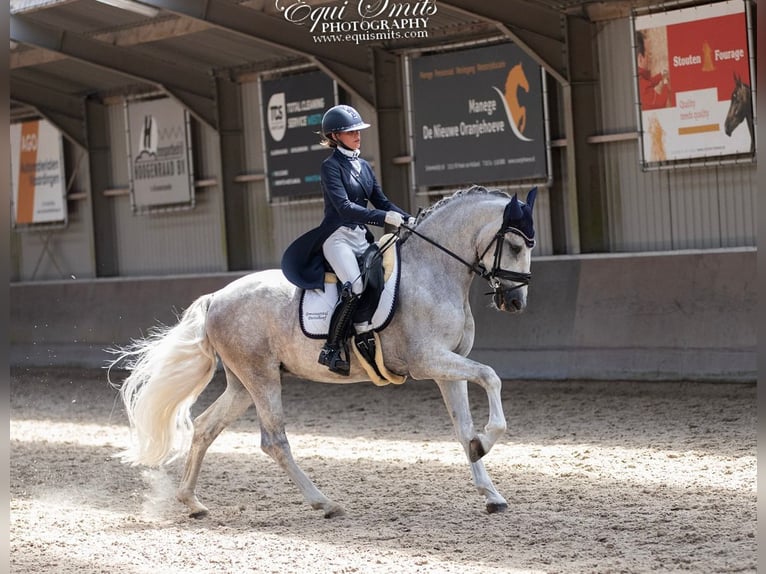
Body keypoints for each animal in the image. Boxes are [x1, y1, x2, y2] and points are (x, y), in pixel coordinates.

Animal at [112, 187, 540, 520]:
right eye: (515, 245)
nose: (515, 302)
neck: (433, 272)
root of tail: (215, 297)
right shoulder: (428, 360)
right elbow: (490, 375)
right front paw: (486, 441)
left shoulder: (446, 368)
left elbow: (463, 427)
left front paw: (491, 491)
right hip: (261, 377)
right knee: (274, 440)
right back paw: (324, 503)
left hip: (242, 383)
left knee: (204, 428)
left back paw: (193, 502)